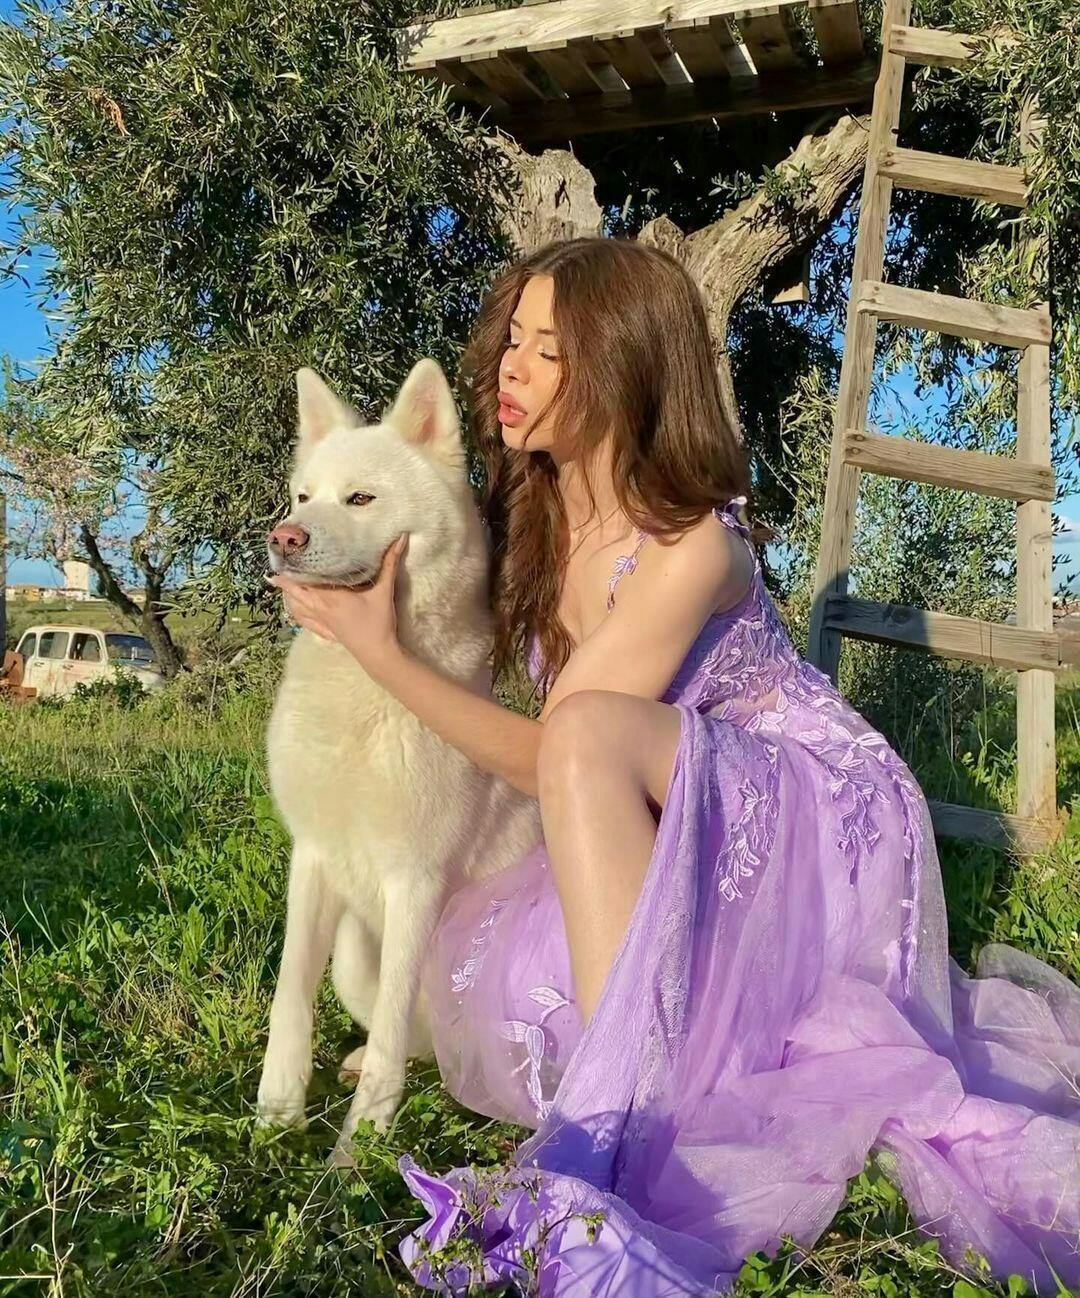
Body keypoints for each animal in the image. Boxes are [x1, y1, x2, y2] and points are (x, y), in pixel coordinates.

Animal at [256, 359, 542, 1162]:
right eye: (305, 496)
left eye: (361, 498)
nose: (283, 537)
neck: (365, 690)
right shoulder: (314, 860)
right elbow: (289, 1003)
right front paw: (275, 1122)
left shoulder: (415, 882)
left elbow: (387, 1039)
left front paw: (357, 1156)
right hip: (355, 952)